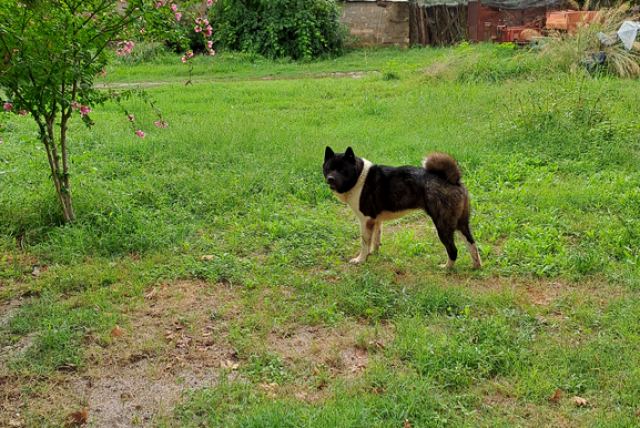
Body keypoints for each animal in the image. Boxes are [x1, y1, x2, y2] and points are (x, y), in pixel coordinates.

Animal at [322, 146, 482, 268]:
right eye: (329, 168)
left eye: (343, 170)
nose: (330, 179)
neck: (359, 176)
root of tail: (452, 179)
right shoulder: (376, 220)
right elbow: (376, 239)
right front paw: (373, 253)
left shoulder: (366, 221)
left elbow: (365, 242)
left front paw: (361, 259)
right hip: (461, 224)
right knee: (472, 244)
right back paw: (476, 266)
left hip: (443, 226)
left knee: (453, 250)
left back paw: (446, 268)